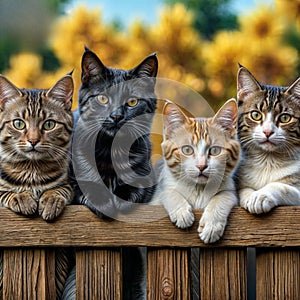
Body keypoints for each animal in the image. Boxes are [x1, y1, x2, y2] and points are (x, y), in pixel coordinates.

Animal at [0, 74, 74, 220]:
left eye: (49, 124)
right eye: (18, 124)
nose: (33, 140)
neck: (31, 169)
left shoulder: (68, 185)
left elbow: (59, 190)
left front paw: (51, 199)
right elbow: (5, 192)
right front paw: (21, 196)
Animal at [154, 99, 240, 244]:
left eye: (215, 150)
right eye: (187, 150)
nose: (201, 166)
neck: (199, 189)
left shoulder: (229, 190)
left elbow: (225, 196)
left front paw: (211, 225)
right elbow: (166, 192)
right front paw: (181, 212)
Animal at [237, 65, 300, 213]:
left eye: (285, 118)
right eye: (256, 115)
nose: (267, 132)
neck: (267, 159)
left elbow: (281, 186)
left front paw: (260, 196)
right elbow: (242, 189)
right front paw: (249, 196)